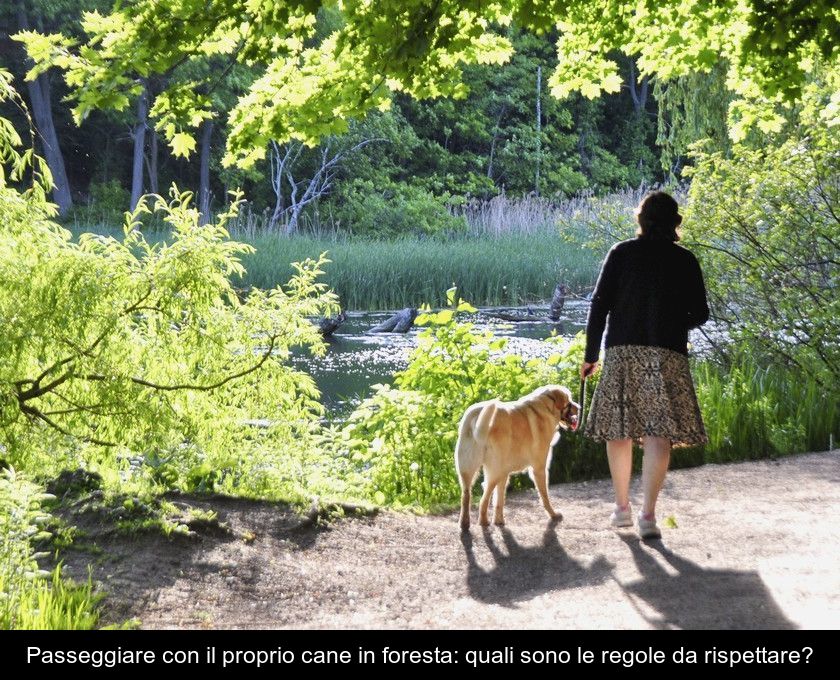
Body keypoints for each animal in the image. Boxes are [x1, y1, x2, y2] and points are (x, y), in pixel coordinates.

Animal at [456, 386, 580, 528]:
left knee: (466, 495)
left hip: (468, 469)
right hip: (495, 471)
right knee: (483, 498)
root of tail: (477, 416)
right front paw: (553, 514)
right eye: (569, 402)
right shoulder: (538, 469)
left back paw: (464, 523)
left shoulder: (505, 474)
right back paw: (483, 521)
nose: (579, 407)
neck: (546, 406)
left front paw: (498, 521)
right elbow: (544, 496)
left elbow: (499, 500)